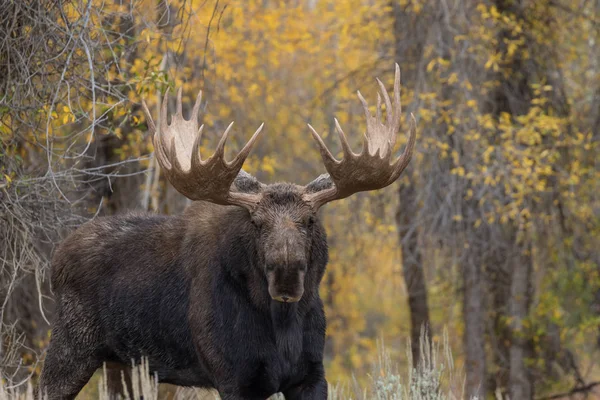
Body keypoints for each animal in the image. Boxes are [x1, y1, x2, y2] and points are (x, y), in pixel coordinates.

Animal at [37, 64, 412, 398]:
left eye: (309, 221)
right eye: (256, 223)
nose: (287, 275)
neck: (282, 325)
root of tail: (56, 260)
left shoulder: (311, 375)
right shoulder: (235, 377)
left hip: (122, 364)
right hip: (71, 346)